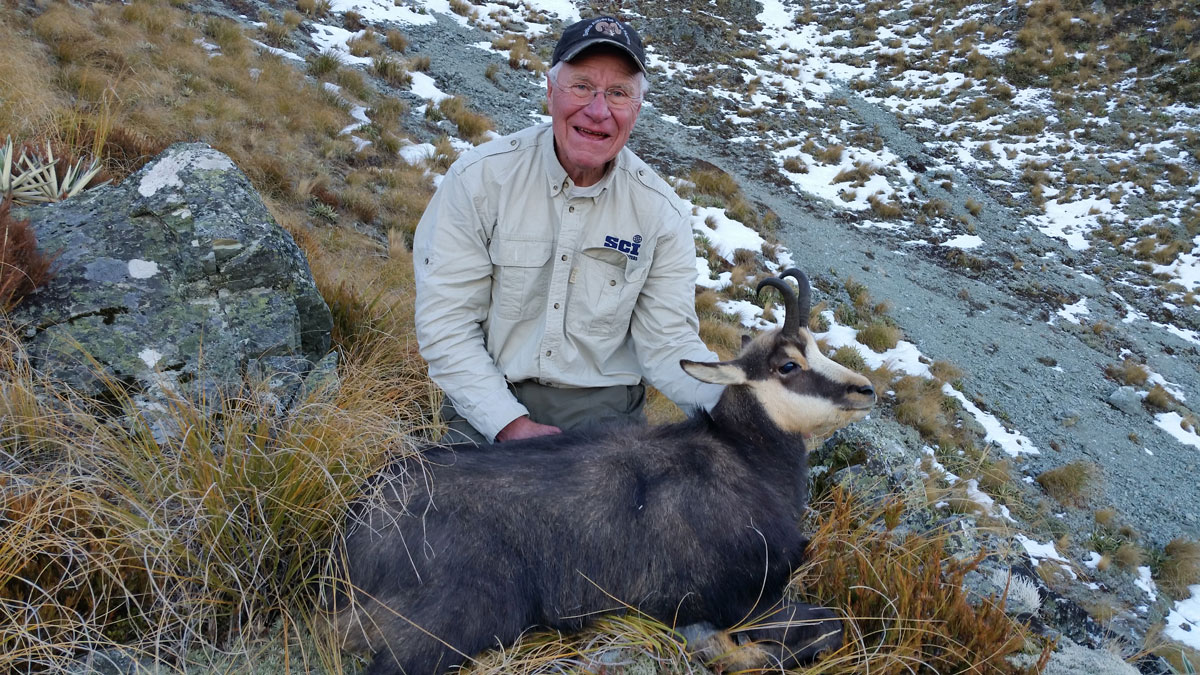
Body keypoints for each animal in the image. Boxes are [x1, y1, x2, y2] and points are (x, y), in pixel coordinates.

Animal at [328, 268, 876, 674]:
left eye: (818, 347)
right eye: (788, 365)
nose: (865, 390)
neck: (746, 459)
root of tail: (352, 540)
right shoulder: (744, 599)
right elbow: (831, 626)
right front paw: (727, 650)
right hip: (454, 622)